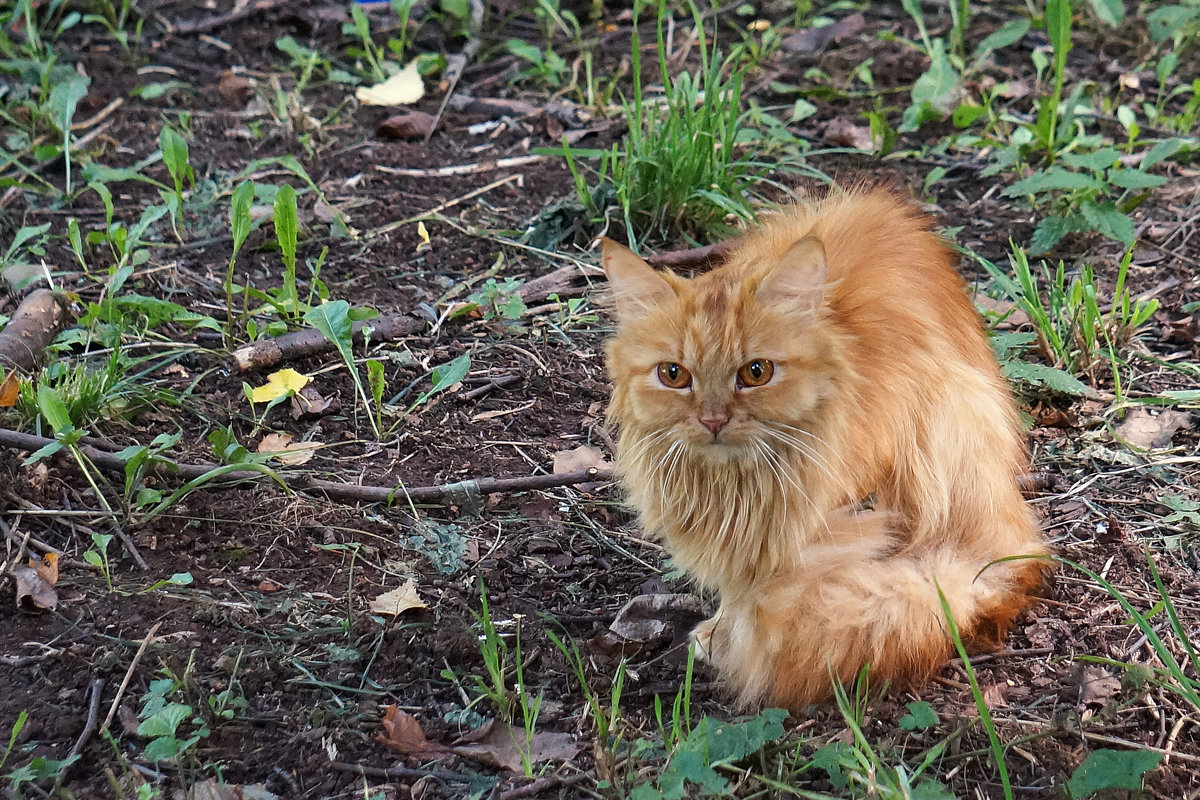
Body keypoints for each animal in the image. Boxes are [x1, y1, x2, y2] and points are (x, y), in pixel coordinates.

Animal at [600, 185, 1051, 705]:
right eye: (673, 375)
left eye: (756, 372)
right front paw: (721, 627)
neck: (738, 488)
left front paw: (724, 635)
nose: (713, 419)